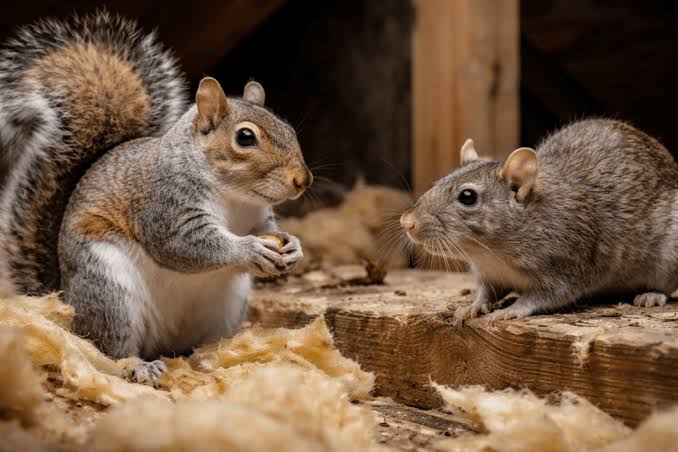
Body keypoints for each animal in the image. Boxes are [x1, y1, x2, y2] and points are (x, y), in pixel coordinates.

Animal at [0, 11, 312, 384]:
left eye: (289, 130)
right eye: (246, 137)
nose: (303, 180)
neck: (235, 197)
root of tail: (63, 297)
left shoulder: (257, 216)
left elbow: (268, 230)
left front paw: (293, 245)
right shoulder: (165, 206)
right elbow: (187, 245)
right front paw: (249, 249)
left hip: (228, 305)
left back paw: (210, 357)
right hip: (109, 291)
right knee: (109, 348)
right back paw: (139, 365)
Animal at [401, 119, 678, 320]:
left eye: (467, 196)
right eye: (436, 182)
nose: (407, 223)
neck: (492, 252)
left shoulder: (568, 266)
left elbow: (542, 297)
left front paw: (511, 310)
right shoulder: (489, 274)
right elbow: (487, 293)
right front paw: (473, 306)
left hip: (669, 256)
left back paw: (651, 295)